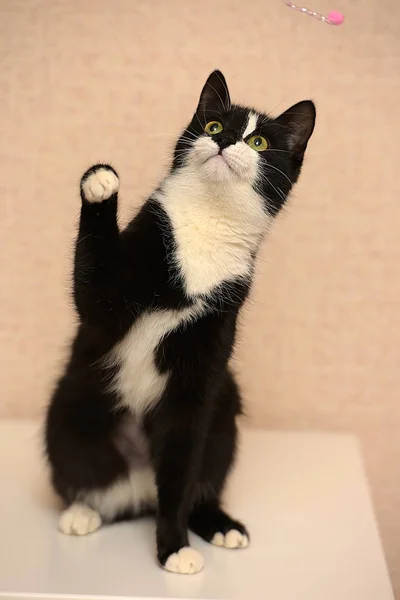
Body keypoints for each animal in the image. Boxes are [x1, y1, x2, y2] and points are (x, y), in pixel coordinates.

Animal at [45, 68, 316, 576]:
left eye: (259, 142)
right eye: (213, 125)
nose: (226, 139)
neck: (208, 221)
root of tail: (138, 486)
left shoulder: (207, 352)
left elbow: (183, 460)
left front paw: (173, 545)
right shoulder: (111, 298)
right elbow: (92, 294)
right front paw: (100, 183)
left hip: (226, 411)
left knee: (204, 467)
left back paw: (219, 522)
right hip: (71, 407)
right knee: (78, 466)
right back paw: (83, 510)